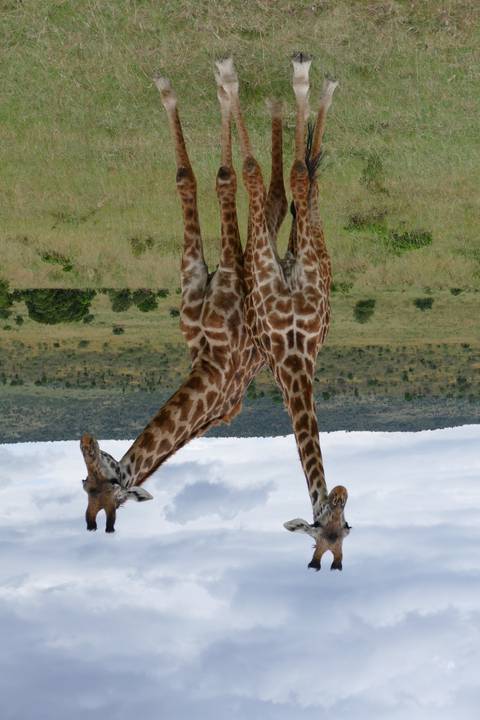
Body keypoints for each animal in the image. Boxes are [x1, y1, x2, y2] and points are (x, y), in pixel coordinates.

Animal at [80, 71, 289, 533]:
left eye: (110, 483)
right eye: (84, 483)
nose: (86, 439)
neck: (210, 366)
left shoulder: (226, 274)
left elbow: (206, 177)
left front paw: (200, 88)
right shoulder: (197, 278)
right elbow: (191, 178)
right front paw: (178, 91)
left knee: (266, 193)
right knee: (275, 200)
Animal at [217, 55, 350, 570]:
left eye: (342, 533)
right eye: (321, 531)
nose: (339, 493)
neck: (293, 358)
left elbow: (286, 175)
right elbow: (271, 172)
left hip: (303, 247)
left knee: (298, 180)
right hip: (293, 247)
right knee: (293, 179)